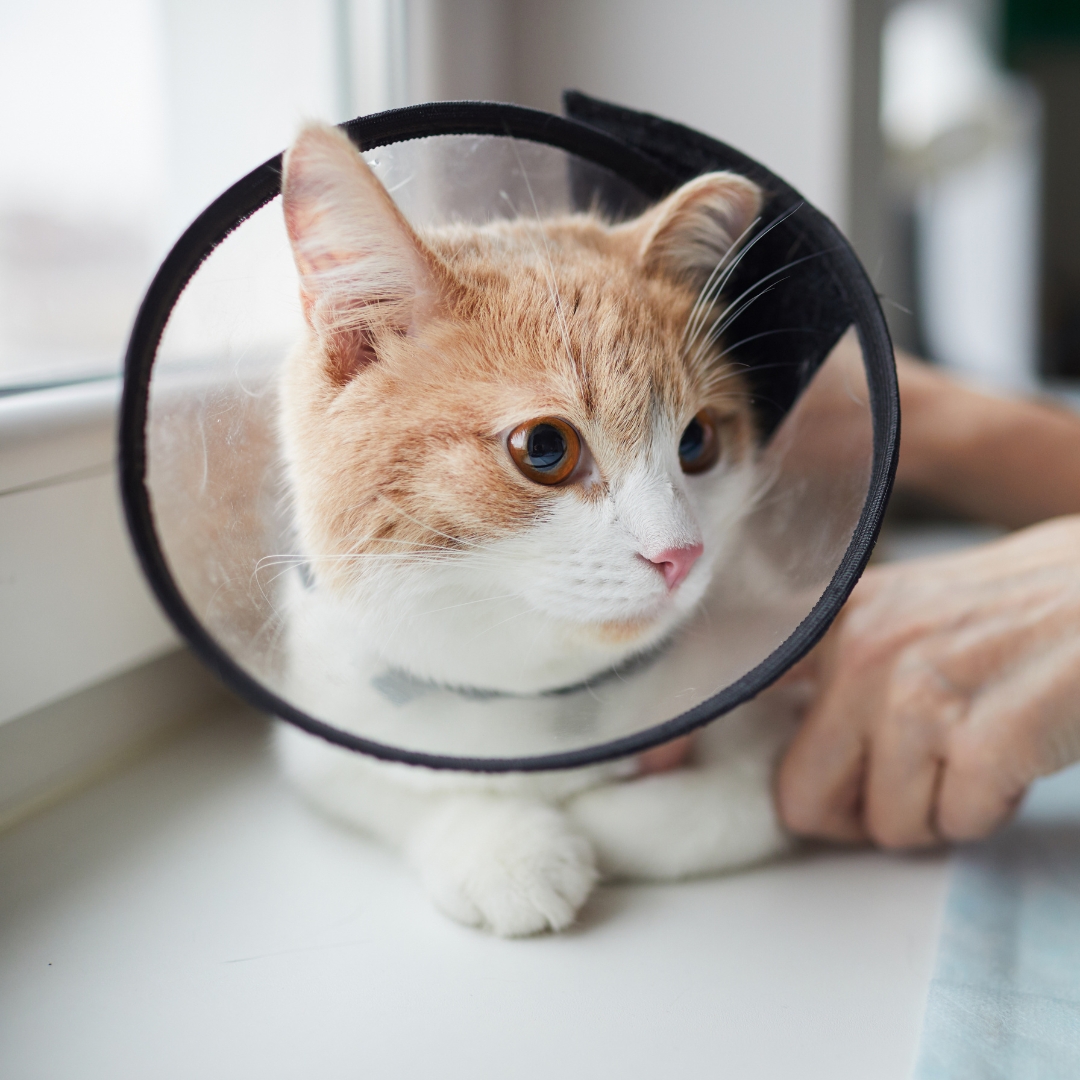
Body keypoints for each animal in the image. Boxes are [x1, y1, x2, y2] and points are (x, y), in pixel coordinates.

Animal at [270, 122, 799, 937]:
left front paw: (608, 822)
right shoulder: (321, 722)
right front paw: (502, 844)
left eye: (698, 442)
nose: (682, 554)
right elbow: (389, 783)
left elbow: (753, 795)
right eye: (545, 448)